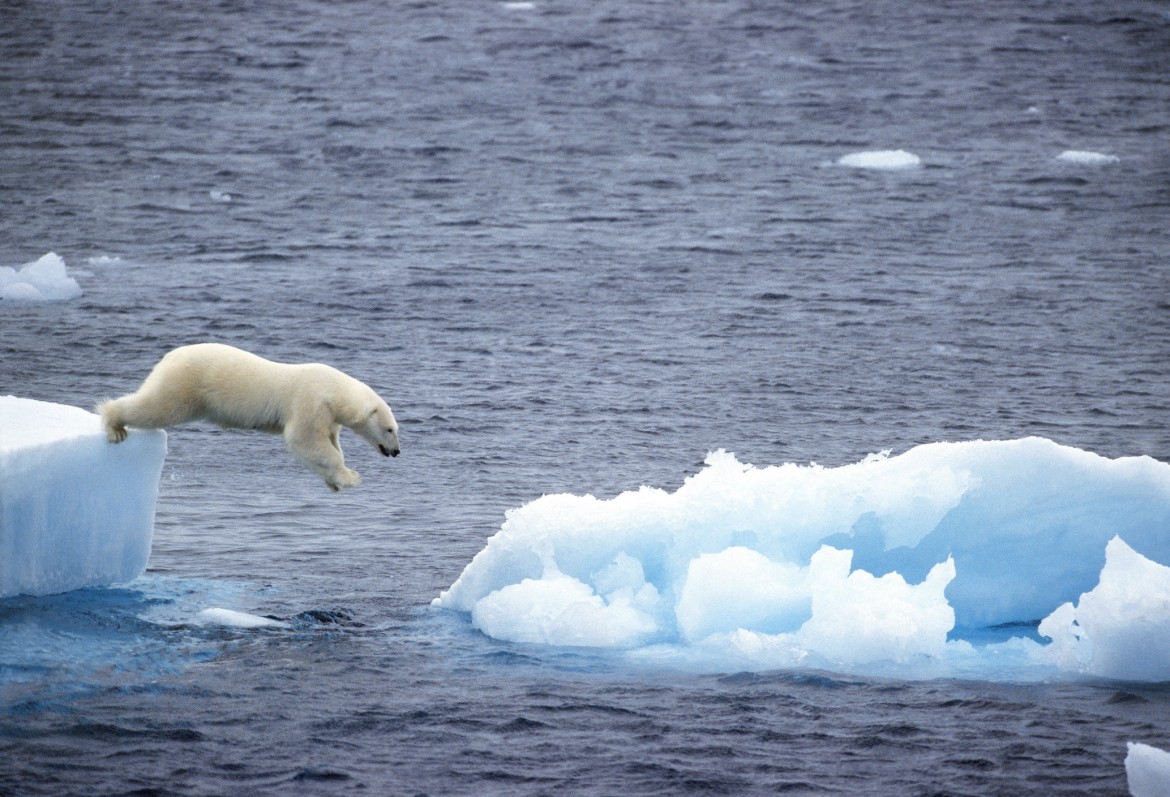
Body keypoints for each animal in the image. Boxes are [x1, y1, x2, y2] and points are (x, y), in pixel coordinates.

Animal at [97, 341, 397, 491]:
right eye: (390, 429)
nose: (396, 452)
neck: (334, 390)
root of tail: (168, 357)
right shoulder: (310, 401)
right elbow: (303, 439)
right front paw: (351, 477)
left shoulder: (328, 416)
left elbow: (326, 444)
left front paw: (334, 481)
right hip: (186, 383)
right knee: (157, 407)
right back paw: (114, 425)